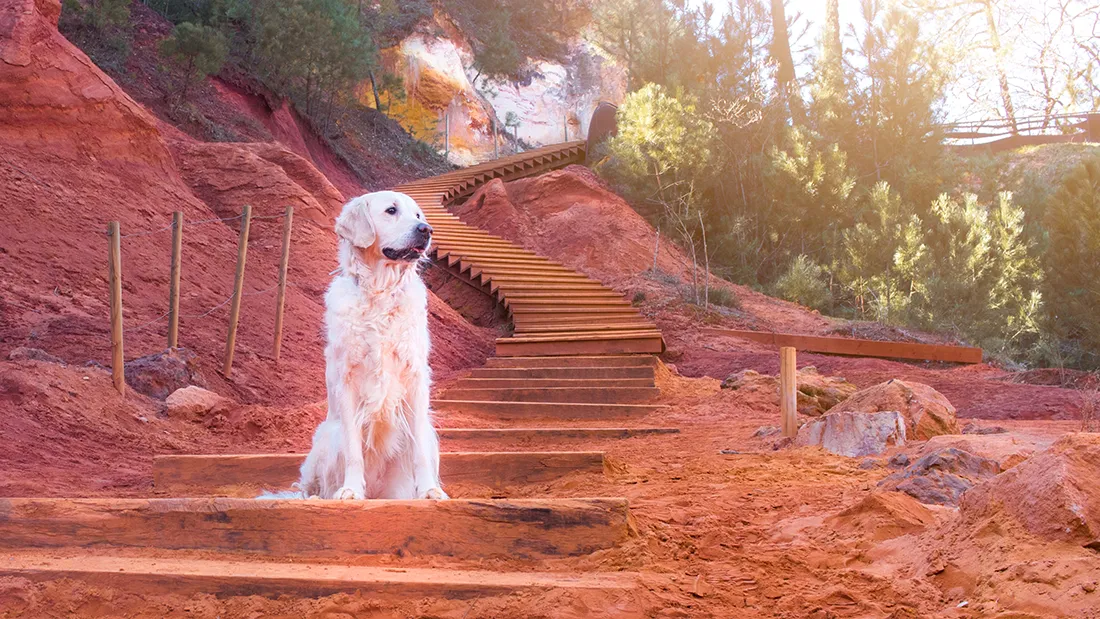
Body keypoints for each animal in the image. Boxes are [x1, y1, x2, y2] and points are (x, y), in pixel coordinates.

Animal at [292, 191, 451, 501]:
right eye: (391, 210)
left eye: (418, 215)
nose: (426, 230)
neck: (380, 292)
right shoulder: (348, 380)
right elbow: (354, 450)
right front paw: (351, 490)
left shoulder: (415, 378)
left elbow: (419, 452)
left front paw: (429, 490)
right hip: (327, 436)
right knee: (311, 486)